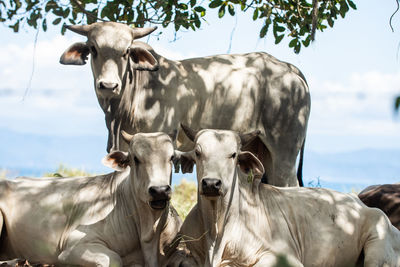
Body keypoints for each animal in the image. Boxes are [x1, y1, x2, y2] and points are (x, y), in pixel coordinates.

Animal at [59, 21, 310, 187]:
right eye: (93, 49)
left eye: (126, 51)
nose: (108, 85)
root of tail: (289, 68)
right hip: (261, 151)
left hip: (285, 154)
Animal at [173, 125, 400, 267]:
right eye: (198, 153)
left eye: (233, 155)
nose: (211, 183)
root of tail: (359, 202)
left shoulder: (286, 258)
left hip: (378, 244)